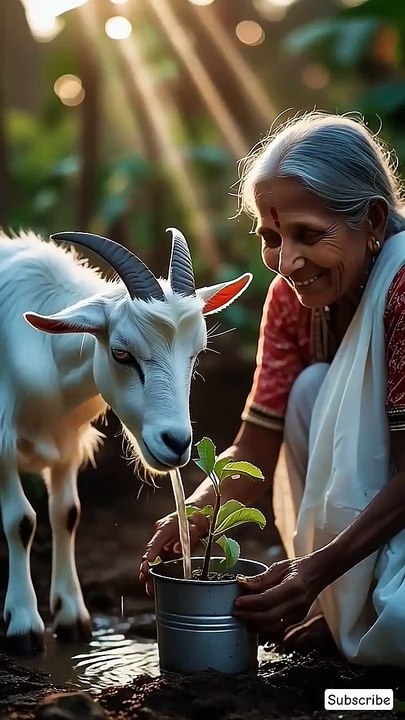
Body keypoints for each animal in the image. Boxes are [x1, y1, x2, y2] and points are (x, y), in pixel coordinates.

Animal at [0, 227, 252, 653]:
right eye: (121, 354)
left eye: (196, 353)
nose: (176, 442)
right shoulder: (0, 444)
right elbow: (21, 521)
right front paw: (24, 625)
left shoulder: (68, 444)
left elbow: (66, 514)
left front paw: (72, 617)